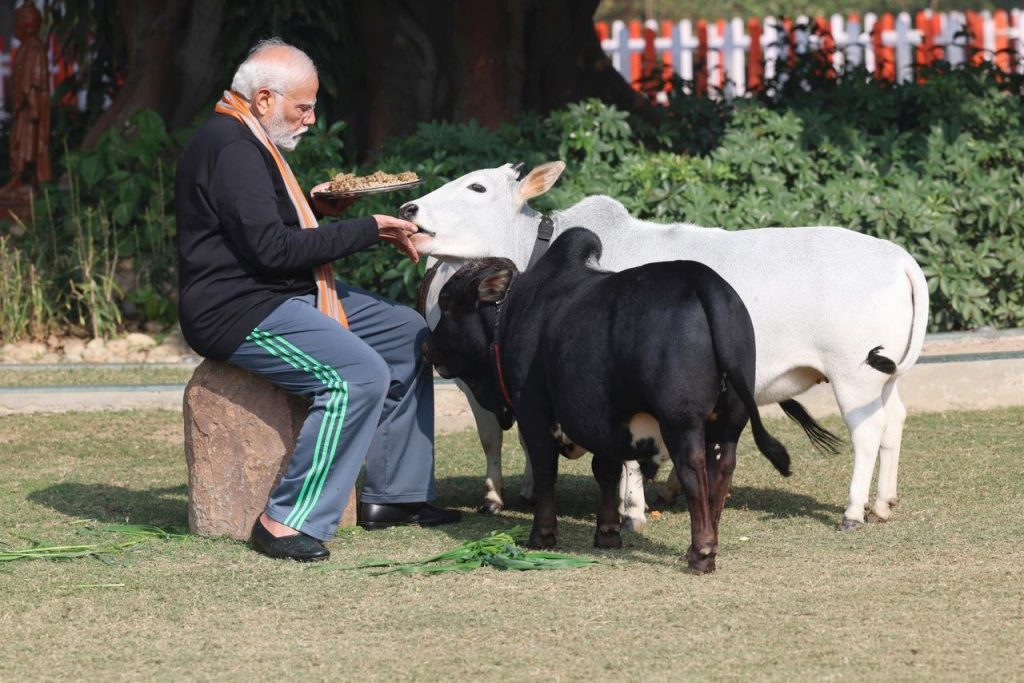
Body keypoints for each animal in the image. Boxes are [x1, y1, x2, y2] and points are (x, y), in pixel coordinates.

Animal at [404, 161, 930, 530]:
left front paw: (632, 509)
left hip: (852, 375)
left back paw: (854, 511)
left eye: (477, 187)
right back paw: (883, 503)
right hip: (880, 379)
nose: (409, 210)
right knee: (894, 421)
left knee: (867, 432)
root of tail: (899, 257)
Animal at [424, 227, 796, 573]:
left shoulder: (534, 410)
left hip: (681, 421)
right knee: (723, 467)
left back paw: (701, 552)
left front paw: (542, 534)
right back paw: (708, 543)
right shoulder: (603, 419)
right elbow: (606, 470)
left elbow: (546, 470)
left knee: (693, 467)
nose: (427, 346)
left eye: (447, 304)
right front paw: (607, 533)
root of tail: (703, 280)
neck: (514, 312)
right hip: (730, 420)